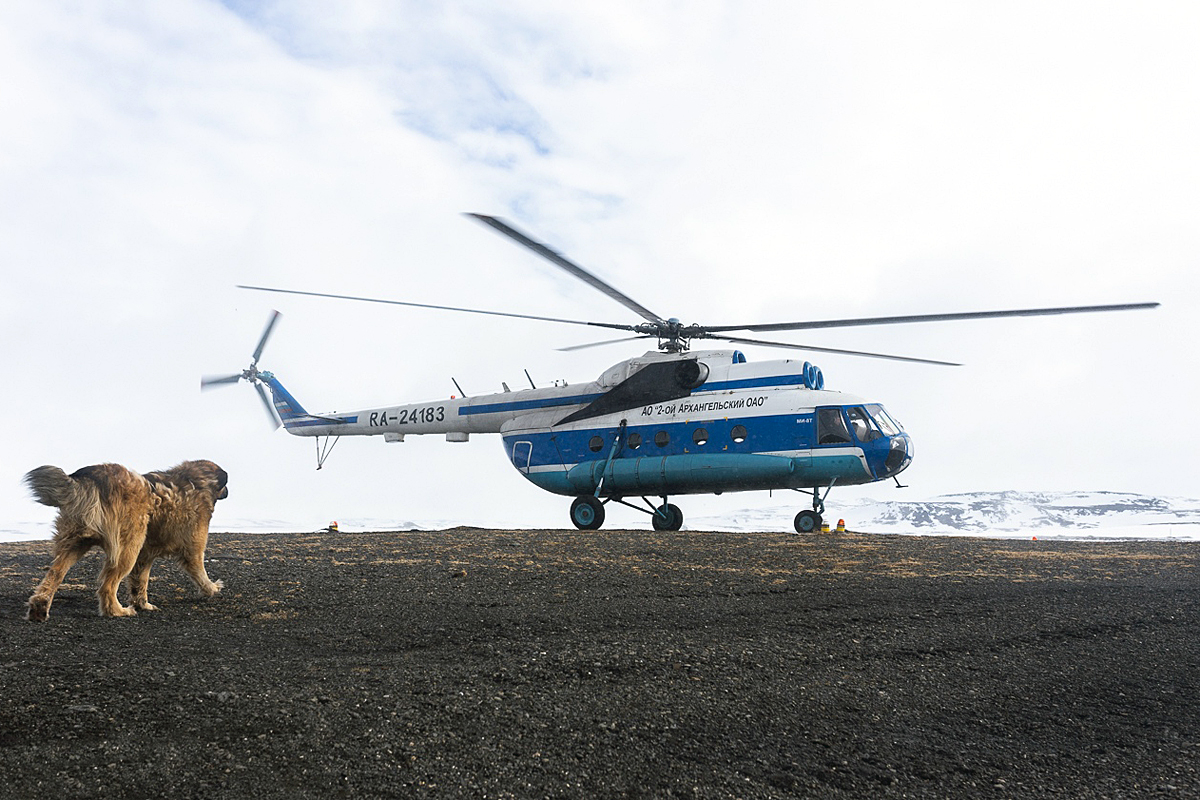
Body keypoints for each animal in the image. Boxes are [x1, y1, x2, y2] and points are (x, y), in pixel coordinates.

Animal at [25, 460, 230, 623]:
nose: (227, 491)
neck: (196, 482)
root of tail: (96, 479)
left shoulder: (145, 555)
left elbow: (140, 582)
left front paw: (143, 604)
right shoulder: (192, 549)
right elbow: (200, 572)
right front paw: (212, 588)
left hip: (76, 543)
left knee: (55, 573)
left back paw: (40, 607)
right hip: (128, 548)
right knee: (107, 586)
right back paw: (116, 611)